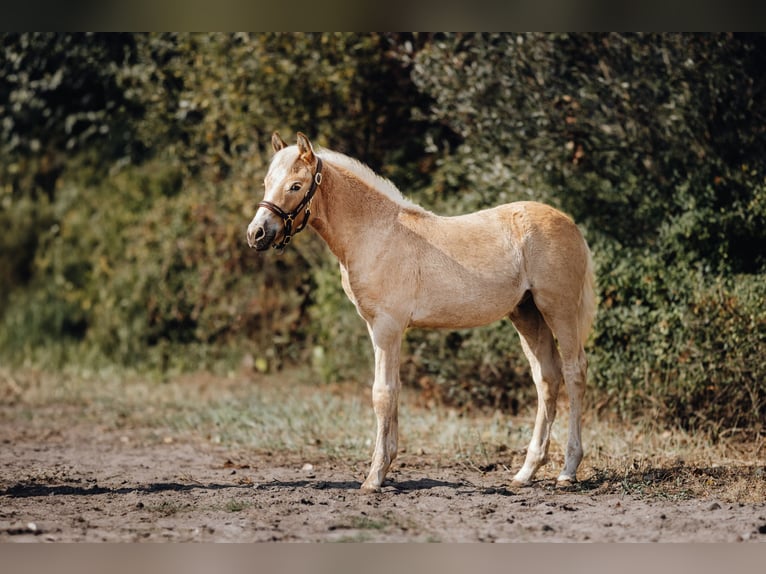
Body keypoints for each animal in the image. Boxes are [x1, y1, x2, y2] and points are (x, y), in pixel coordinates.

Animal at [249, 132, 596, 496]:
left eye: (296, 186)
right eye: (266, 182)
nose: (256, 234)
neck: (376, 232)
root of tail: (571, 224)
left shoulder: (387, 326)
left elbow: (382, 394)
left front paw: (374, 478)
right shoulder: (383, 329)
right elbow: (395, 390)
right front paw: (386, 467)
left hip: (558, 309)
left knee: (574, 371)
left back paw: (567, 471)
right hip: (527, 313)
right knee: (546, 377)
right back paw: (525, 472)